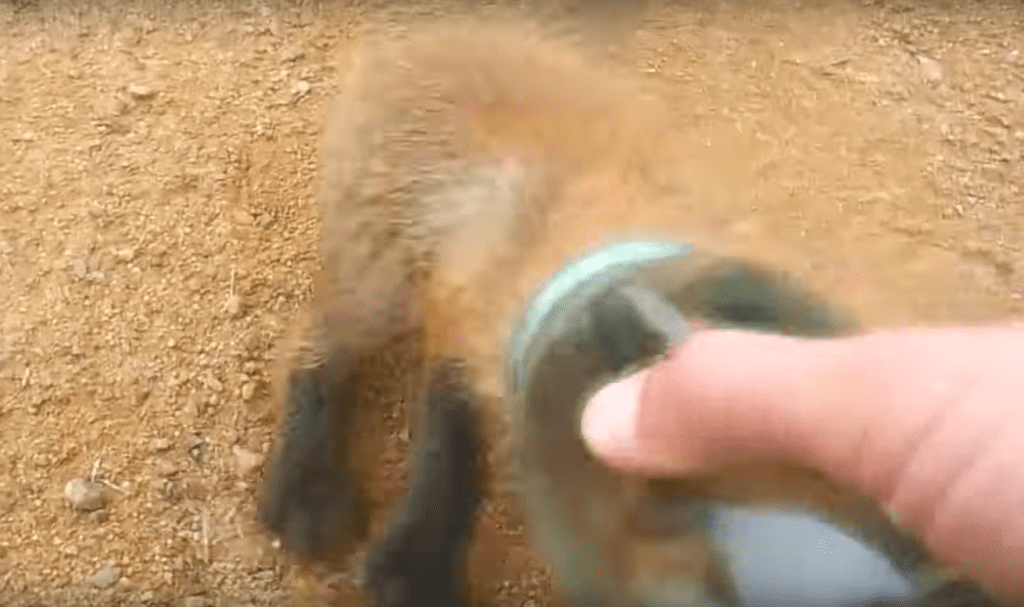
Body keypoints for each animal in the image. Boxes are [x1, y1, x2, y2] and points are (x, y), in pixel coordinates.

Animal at [254, 16, 1009, 607]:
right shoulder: (462, 294)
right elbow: (452, 441)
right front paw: (419, 561)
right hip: (378, 274)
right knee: (313, 348)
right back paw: (308, 487)